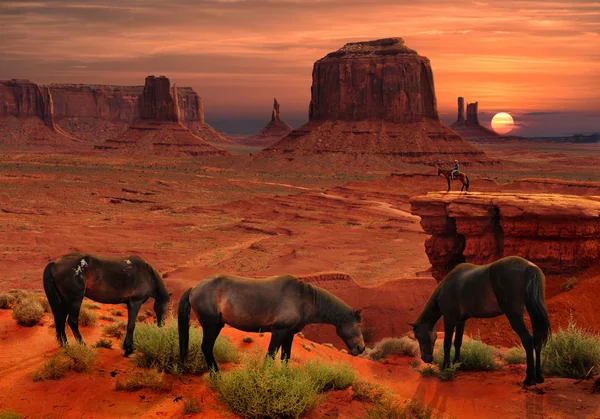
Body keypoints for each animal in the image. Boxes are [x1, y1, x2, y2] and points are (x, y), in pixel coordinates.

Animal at [178, 276, 366, 374]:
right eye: (358, 326)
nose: (361, 348)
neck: (303, 300)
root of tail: (194, 288)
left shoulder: (289, 334)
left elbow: (285, 357)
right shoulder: (279, 331)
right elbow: (270, 356)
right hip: (212, 325)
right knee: (206, 347)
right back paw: (216, 376)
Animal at [410, 256, 552, 388]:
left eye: (418, 336)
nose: (426, 359)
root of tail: (530, 267)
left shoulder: (449, 319)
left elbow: (447, 344)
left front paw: (446, 367)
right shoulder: (461, 321)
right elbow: (458, 342)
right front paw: (457, 364)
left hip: (515, 316)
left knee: (528, 340)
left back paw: (529, 379)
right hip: (534, 313)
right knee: (538, 340)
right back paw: (539, 377)